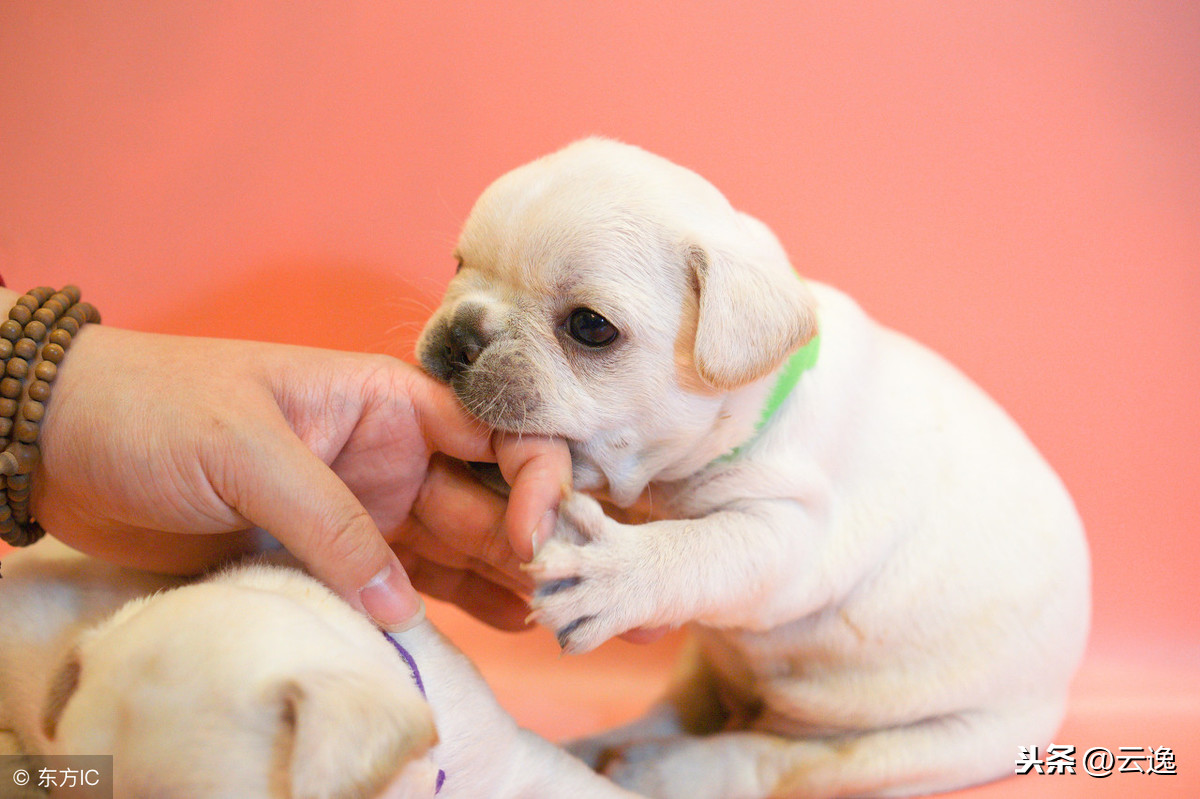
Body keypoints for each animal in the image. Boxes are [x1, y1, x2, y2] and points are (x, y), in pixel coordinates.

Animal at [417, 138, 1094, 796]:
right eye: (456, 266)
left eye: (590, 326)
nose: (460, 335)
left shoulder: (791, 530)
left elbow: (703, 548)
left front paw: (612, 573)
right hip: (711, 667)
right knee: (688, 708)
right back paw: (603, 748)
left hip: (931, 745)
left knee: (776, 758)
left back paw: (661, 770)